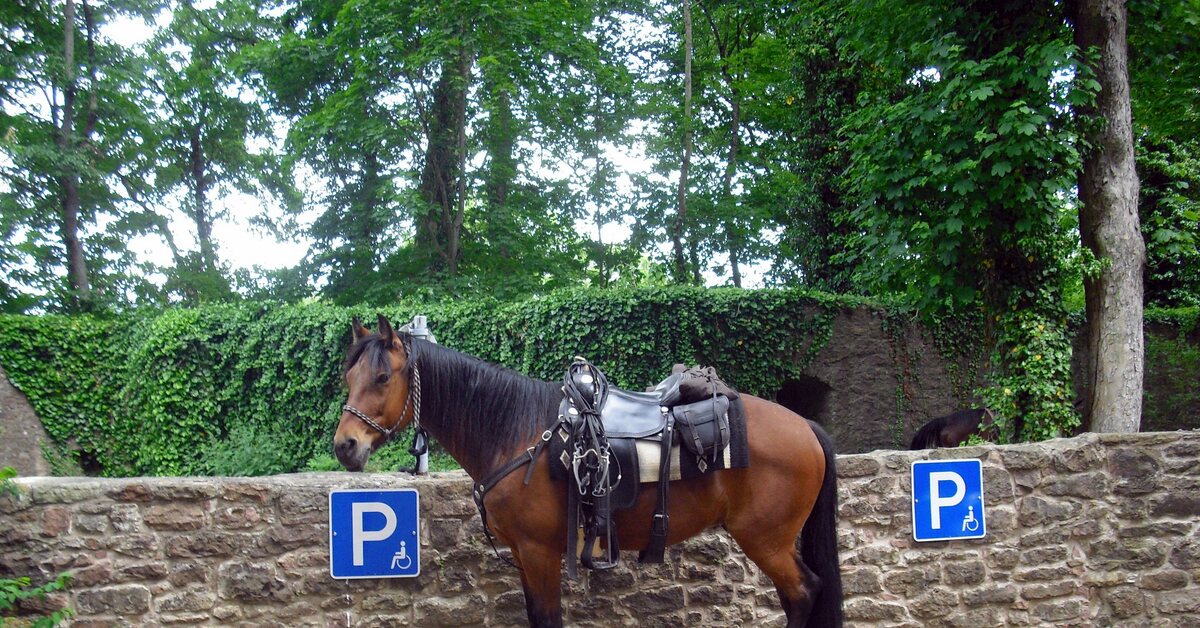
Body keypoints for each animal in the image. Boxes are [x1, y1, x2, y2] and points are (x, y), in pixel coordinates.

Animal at [333, 317, 844, 624]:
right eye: (348, 376)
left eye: (383, 377)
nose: (345, 446)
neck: (516, 431)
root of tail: (806, 426)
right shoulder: (524, 554)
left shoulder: (539, 552)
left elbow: (547, 617)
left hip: (766, 539)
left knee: (803, 592)